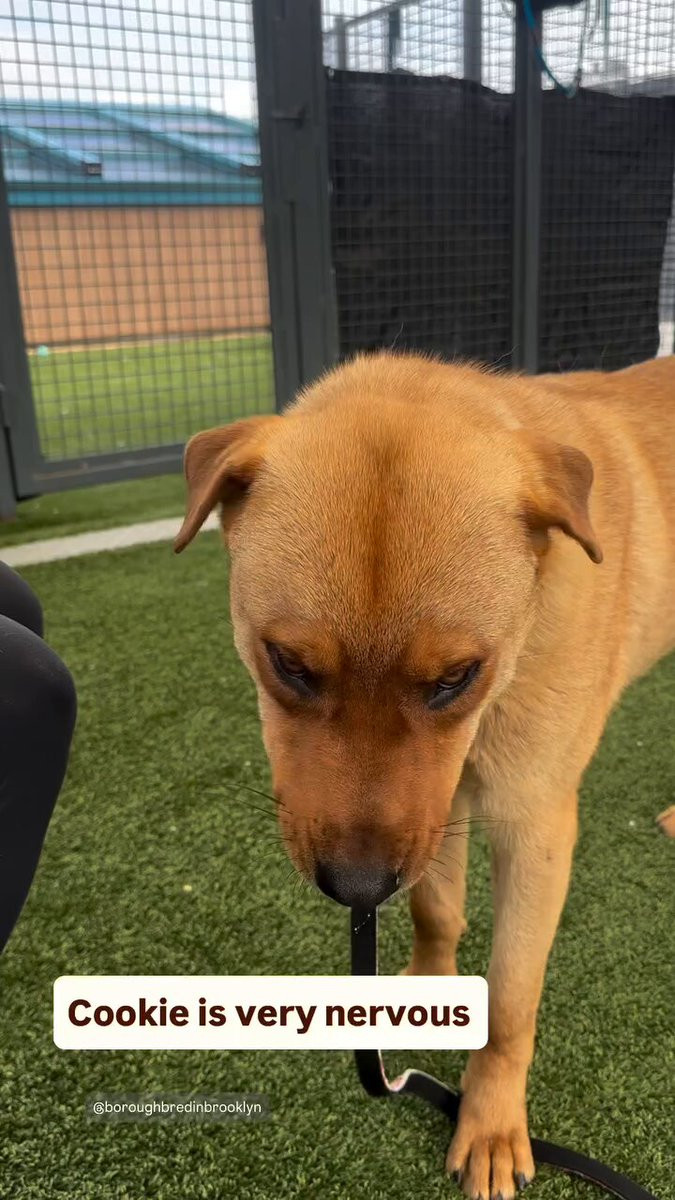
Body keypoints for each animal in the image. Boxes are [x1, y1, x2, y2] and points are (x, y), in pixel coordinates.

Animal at [175, 352, 675, 1199]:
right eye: (289, 663)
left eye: (454, 677)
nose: (354, 888)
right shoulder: (435, 805)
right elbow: (435, 907)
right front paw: (421, 987)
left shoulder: (531, 823)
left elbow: (510, 999)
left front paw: (492, 1122)